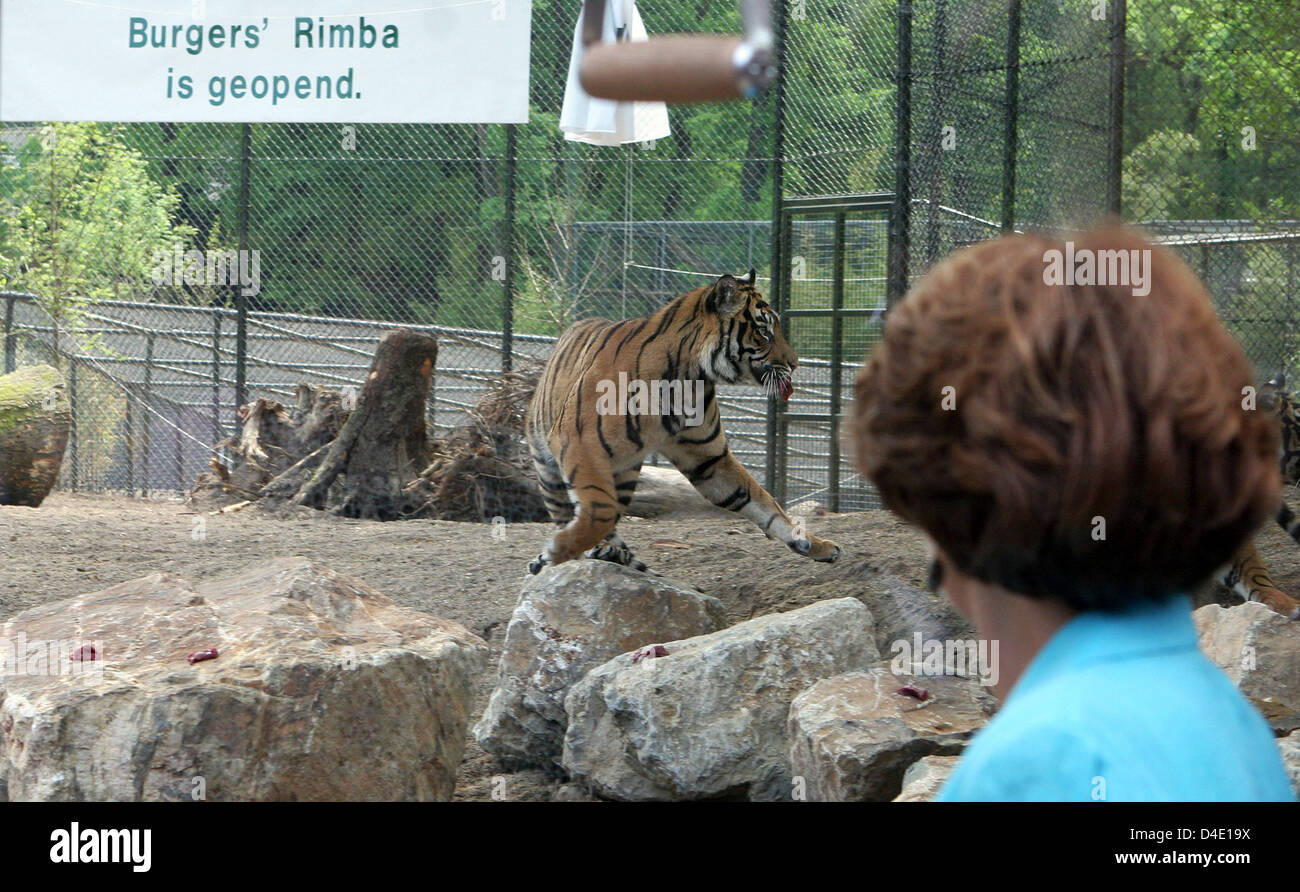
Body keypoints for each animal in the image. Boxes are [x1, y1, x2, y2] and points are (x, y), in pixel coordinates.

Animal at [524, 269, 842, 576]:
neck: (689, 378)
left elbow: (762, 501)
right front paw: (555, 551)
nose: (795, 363)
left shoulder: (710, 459)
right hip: (550, 470)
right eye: (764, 331)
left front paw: (816, 544)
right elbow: (597, 514)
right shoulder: (580, 442)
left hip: (624, 473)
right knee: (574, 510)